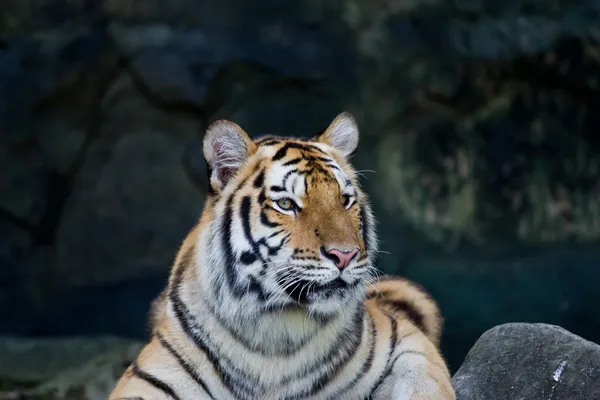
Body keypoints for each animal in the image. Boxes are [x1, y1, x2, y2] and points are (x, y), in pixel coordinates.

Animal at [109, 112, 454, 400]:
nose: (344, 255)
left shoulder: (405, 342)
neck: (276, 330)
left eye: (344, 200)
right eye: (287, 204)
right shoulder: (150, 377)